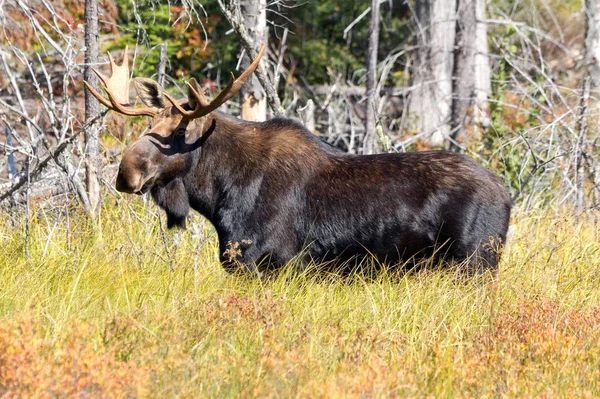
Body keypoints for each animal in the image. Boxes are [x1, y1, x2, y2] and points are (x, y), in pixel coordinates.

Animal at [86, 43, 512, 276]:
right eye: (149, 125)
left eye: (179, 133)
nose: (126, 173)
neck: (218, 196)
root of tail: (508, 196)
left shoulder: (270, 264)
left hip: (474, 263)